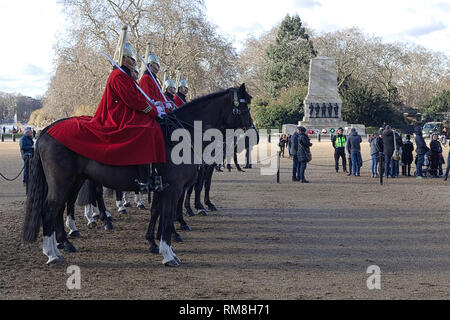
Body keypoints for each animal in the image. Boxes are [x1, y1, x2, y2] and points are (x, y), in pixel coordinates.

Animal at [22, 84, 253, 268]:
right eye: (243, 107)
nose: (252, 130)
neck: (182, 134)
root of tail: (47, 129)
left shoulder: (163, 187)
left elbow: (157, 212)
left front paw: (155, 242)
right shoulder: (174, 188)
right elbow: (167, 217)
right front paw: (168, 252)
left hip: (73, 180)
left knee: (60, 207)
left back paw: (64, 242)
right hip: (64, 182)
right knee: (51, 209)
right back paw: (54, 252)